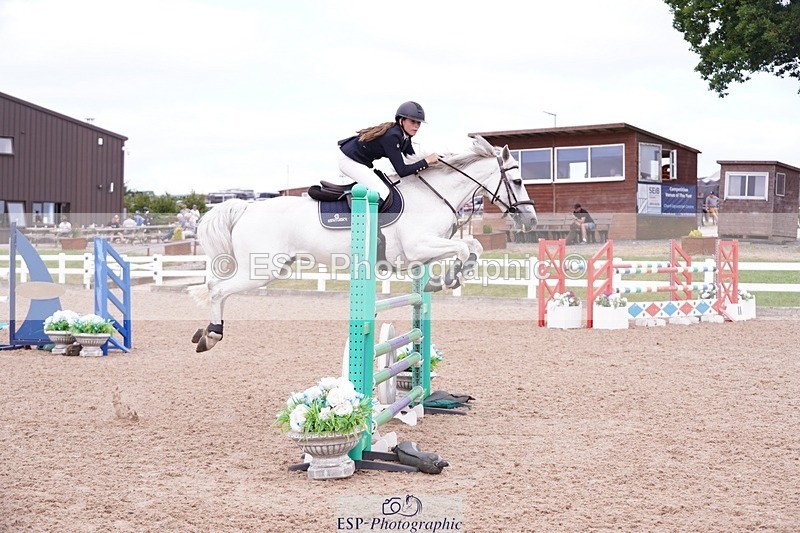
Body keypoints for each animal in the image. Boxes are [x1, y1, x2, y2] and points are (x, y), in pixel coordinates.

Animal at [189, 135, 537, 352]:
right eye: (518, 181)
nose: (531, 221)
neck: (432, 195)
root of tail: (247, 208)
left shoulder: (427, 250)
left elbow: (474, 247)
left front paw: (445, 279)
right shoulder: (418, 248)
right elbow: (465, 248)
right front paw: (447, 280)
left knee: (213, 285)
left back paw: (204, 332)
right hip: (260, 270)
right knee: (218, 290)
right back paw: (213, 335)